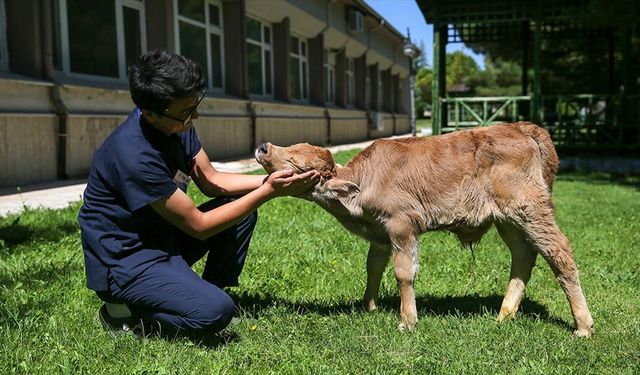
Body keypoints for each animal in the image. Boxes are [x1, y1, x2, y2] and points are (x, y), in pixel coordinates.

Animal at [255, 123, 596, 338]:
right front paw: (369, 307)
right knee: (523, 255)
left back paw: (582, 326)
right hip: (507, 219)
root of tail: (523, 128)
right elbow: (373, 266)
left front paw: (407, 321)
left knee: (559, 253)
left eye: (296, 164)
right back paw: (504, 315)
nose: (263, 146)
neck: (363, 182)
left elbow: (403, 272)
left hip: (530, 210)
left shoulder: (402, 224)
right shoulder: (381, 234)